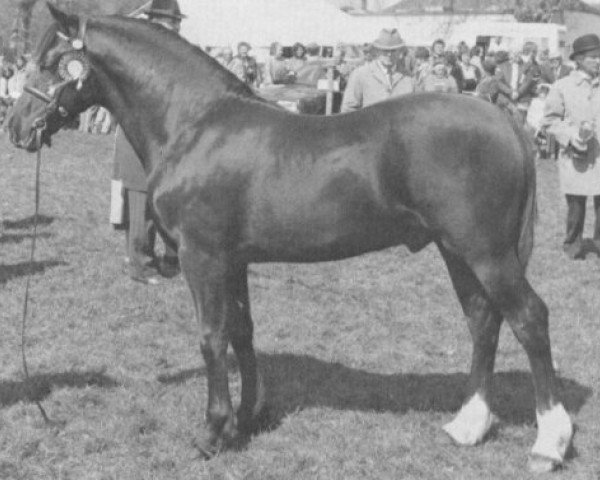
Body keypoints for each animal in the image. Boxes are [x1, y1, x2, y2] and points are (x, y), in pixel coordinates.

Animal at [8, 6, 572, 472]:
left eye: (54, 61)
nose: (16, 127)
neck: (195, 124)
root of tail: (503, 118)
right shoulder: (233, 259)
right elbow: (242, 332)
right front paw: (248, 418)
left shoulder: (201, 256)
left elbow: (211, 337)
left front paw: (212, 433)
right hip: (457, 251)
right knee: (483, 320)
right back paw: (468, 425)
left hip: (486, 252)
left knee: (529, 318)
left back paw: (549, 443)